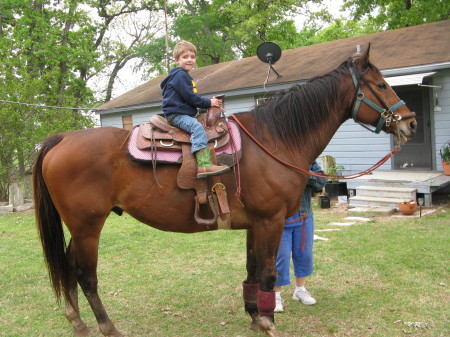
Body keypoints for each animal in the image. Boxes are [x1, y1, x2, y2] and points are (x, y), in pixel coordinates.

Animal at [33, 45, 416, 336]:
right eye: (381, 85)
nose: (411, 122)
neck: (274, 140)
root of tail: (62, 138)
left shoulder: (255, 224)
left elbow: (251, 270)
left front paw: (254, 316)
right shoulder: (271, 220)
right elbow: (268, 272)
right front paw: (268, 322)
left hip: (80, 227)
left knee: (67, 267)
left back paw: (78, 323)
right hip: (88, 226)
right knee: (85, 275)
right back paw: (107, 327)